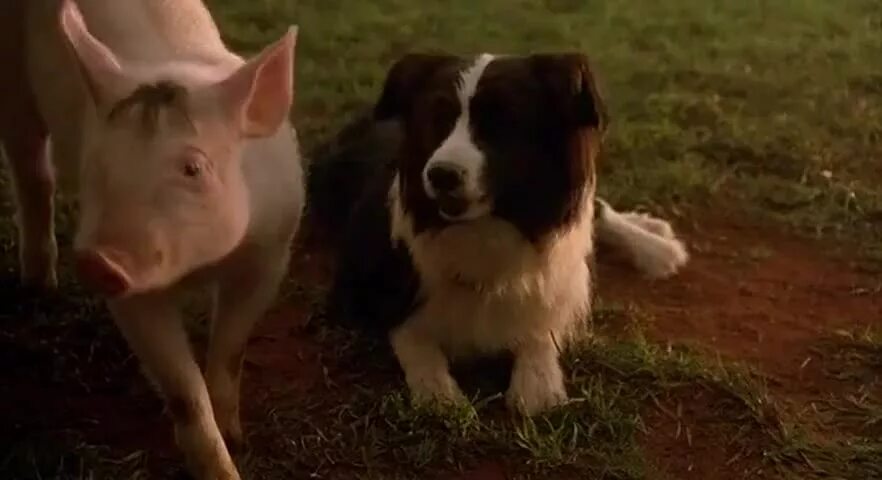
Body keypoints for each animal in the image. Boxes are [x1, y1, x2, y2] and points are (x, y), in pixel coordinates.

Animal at [1, 0, 305, 478]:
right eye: (97, 164)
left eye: (192, 169)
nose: (96, 261)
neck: (199, 269)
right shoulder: (132, 295)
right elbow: (183, 389)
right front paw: (223, 469)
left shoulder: (271, 253)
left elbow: (231, 349)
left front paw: (237, 440)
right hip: (11, 74)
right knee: (31, 168)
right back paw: (38, 287)